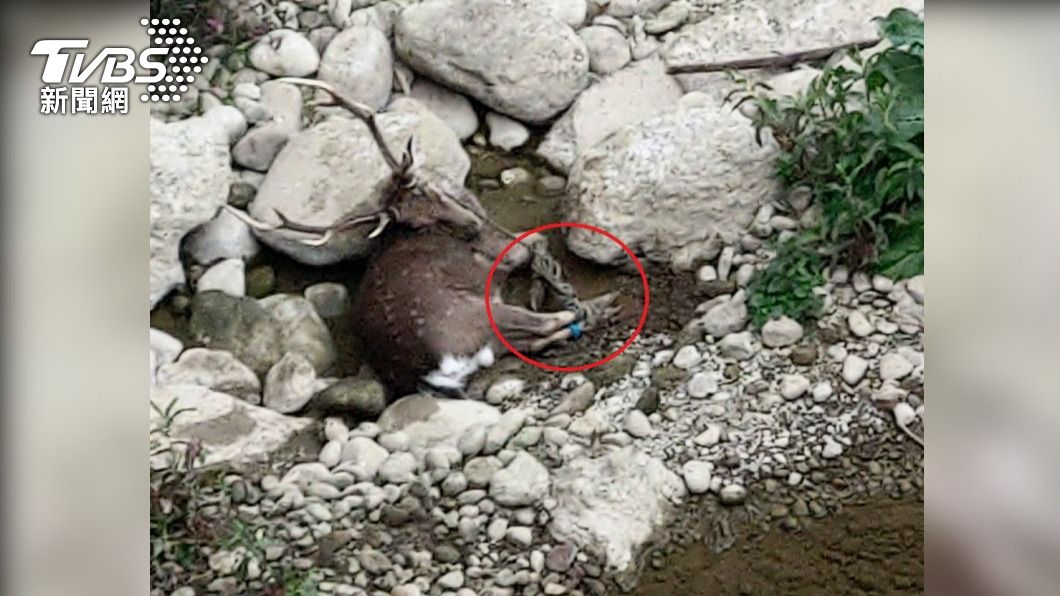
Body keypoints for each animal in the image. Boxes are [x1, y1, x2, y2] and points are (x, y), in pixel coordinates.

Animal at [229, 78, 622, 399]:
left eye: (423, 189)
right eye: (415, 222)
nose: (470, 226)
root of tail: (429, 372)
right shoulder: (501, 250)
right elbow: (534, 242)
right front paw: (550, 283)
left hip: (492, 339)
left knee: (534, 339)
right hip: (478, 314)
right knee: (548, 325)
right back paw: (601, 305)